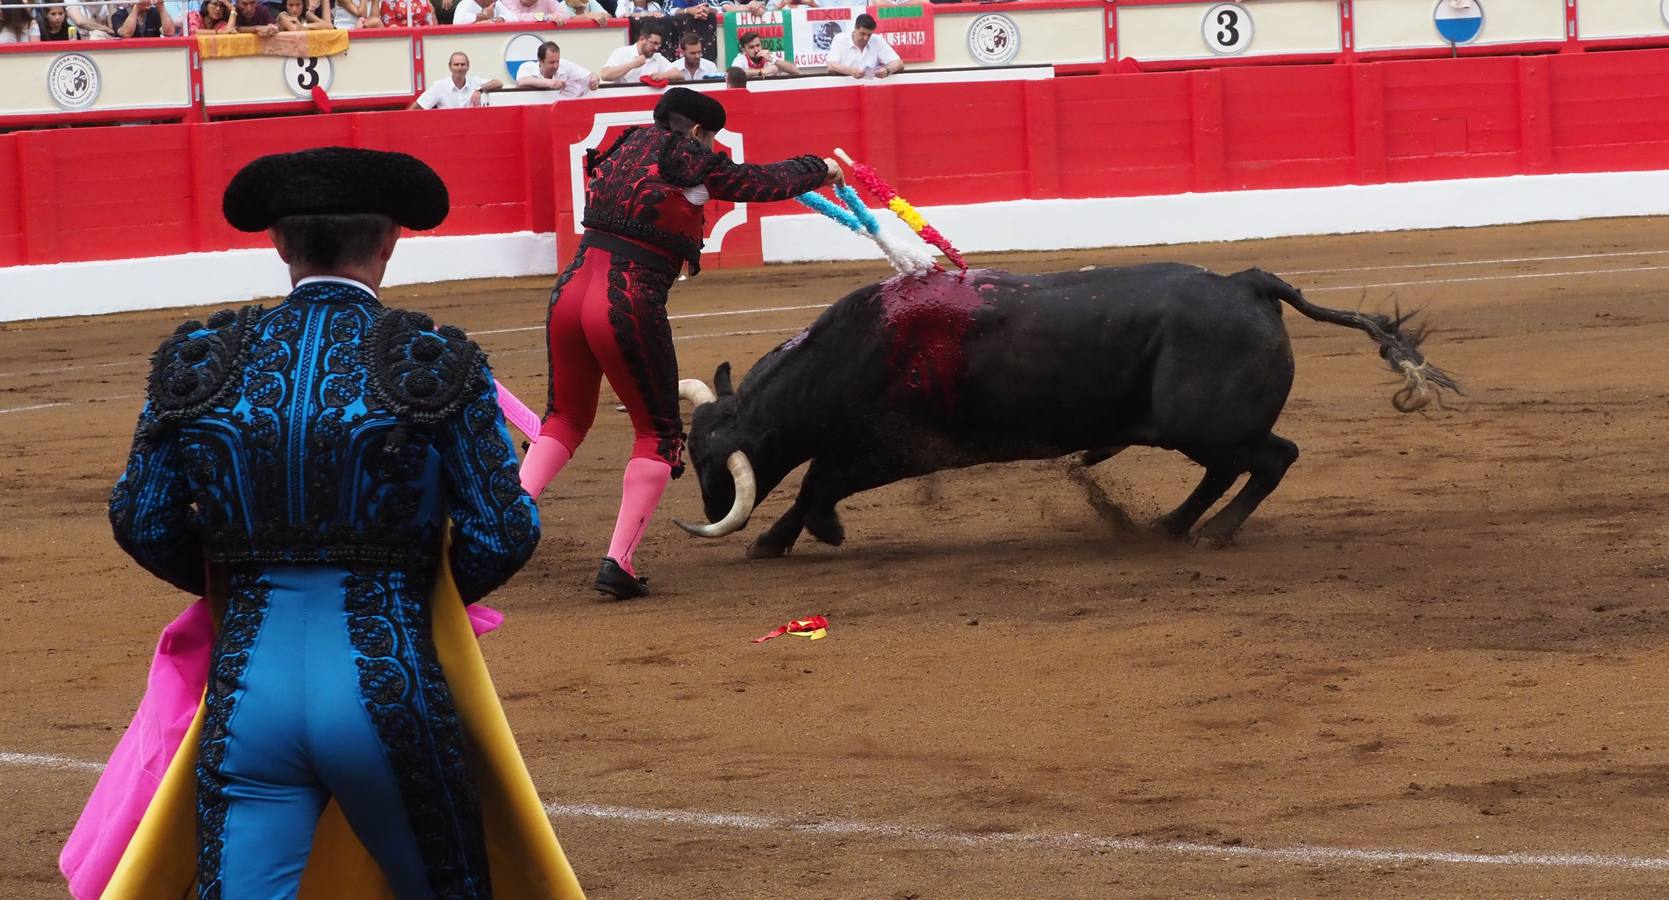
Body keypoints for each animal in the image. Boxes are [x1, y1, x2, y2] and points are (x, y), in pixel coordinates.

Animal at [677, 262, 1462, 557]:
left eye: (713, 464)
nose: (710, 506)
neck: (854, 347)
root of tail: (1247, 282)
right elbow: (818, 477)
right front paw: (799, 534)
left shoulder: (900, 448)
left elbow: (820, 479)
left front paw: (785, 538)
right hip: (1196, 431)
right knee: (1227, 470)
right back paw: (1169, 525)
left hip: (1203, 424)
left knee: (1272, 459)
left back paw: (1210, 533)